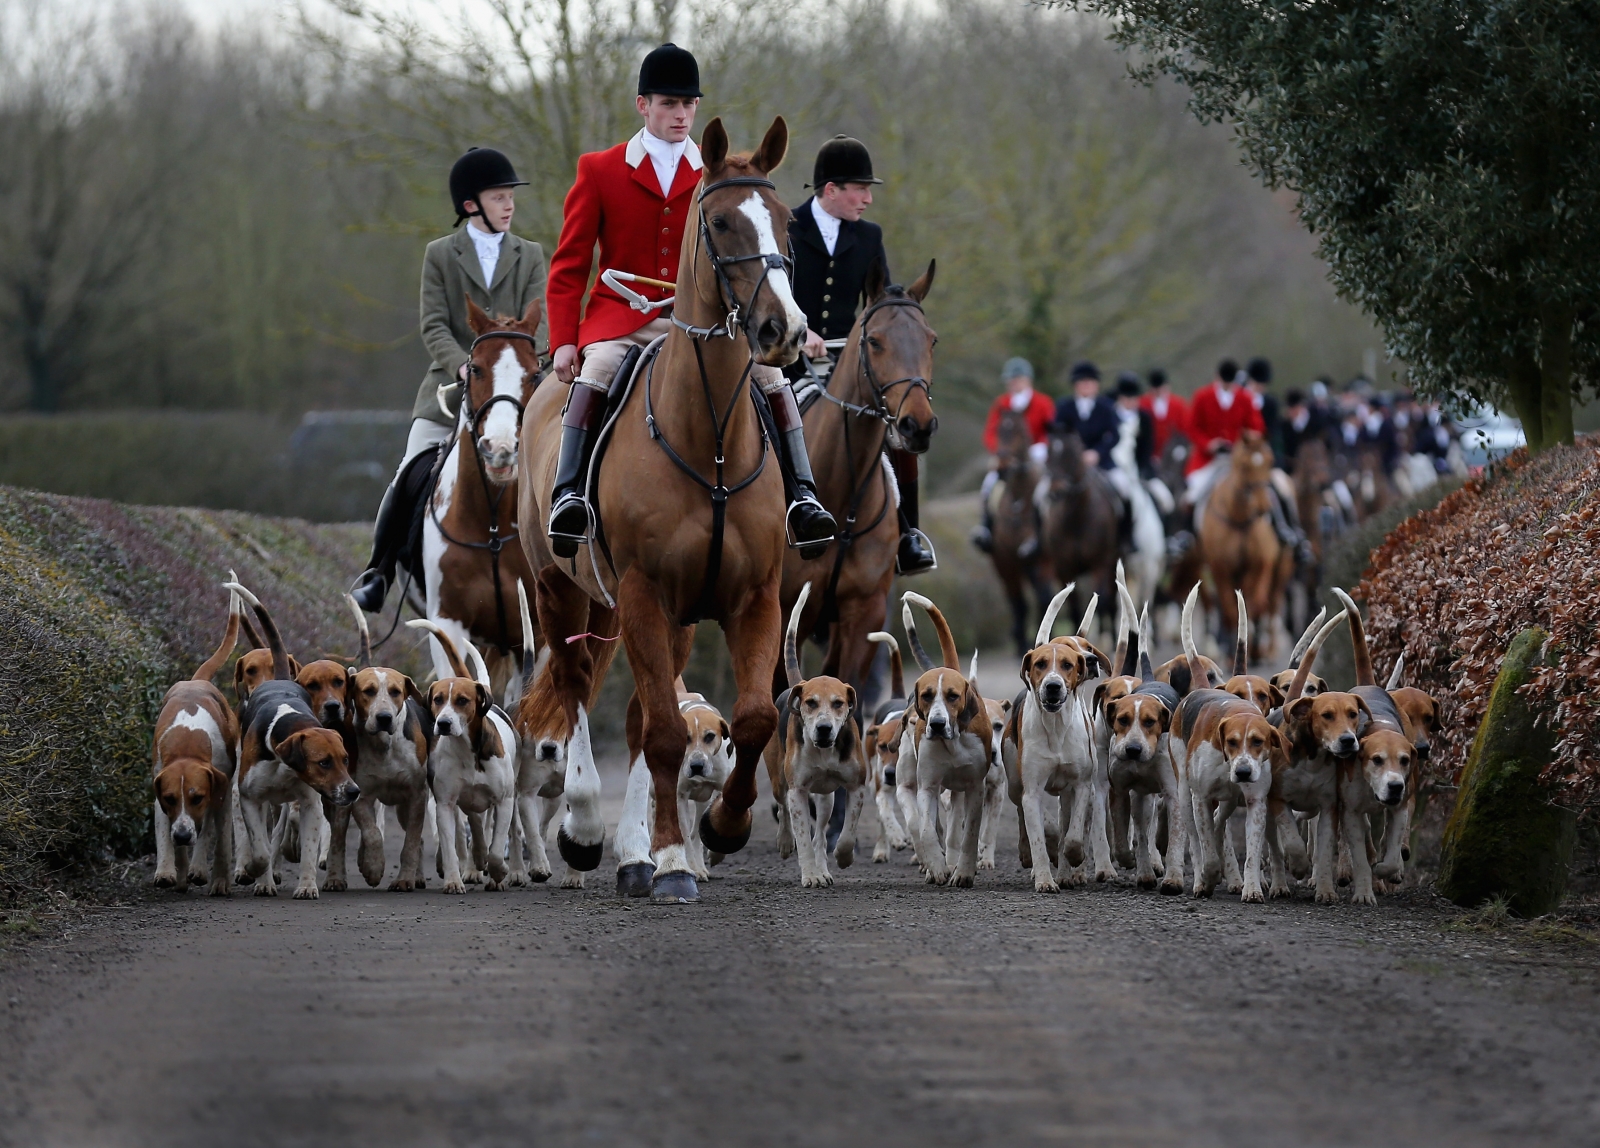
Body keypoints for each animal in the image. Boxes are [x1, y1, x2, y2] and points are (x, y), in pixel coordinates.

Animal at [425, 294, 544, 700]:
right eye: (475, 369)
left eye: (535, 373)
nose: (501, 450)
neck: (491, 524)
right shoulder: (448, 623)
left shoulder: (538, 635)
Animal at [515, 119, 800, 908]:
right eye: (722, 221)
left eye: (787, 221)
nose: (785, 330)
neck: (711, 443)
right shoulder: (644, 592)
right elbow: (670, 734)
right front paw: (673, 860)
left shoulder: (751, 598)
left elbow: (752, 717)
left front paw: (723, 828)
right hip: (563, 590)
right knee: (579, 689)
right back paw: (588, 831)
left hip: (651, 615)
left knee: (643, 715)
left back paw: (635, 853)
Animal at [1030, 431, 1120, 639]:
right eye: (1048, 454)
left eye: (1072, 453)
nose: (1056, 492)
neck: (1076, 518)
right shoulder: (1064, 567)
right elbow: (1073, 608)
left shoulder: (1101, 562)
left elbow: (1102, 602)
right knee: (1044, 596)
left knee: (1112, 601)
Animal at [1203, 428, 1286, 665]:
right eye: (1244, 466)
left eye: (1269, 461)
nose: (1263, 507)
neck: (1238, 517)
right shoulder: (1220, 569)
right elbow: (1231, 609)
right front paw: (1234, 650)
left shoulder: (1259, 566)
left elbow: (1254, 605)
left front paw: (1254, 647)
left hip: (1281, 569)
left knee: (1271, 604)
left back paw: (1268, 648)